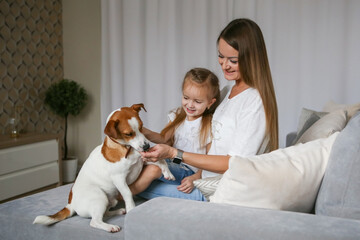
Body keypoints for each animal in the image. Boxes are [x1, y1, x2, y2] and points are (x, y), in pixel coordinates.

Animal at [33, 103, 174, 232]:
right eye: (128, 134)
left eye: (142, 127)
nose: (146, 147)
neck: (127, 149)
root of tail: (71, 204)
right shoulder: (119, 179)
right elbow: (127, 192)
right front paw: (131, 209)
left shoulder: (143, 161)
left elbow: (161, 161)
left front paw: (168, 173)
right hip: (99, 198)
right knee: (94, 221)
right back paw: (110, 227)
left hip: (110, 201)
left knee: (104, 213)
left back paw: (118, 212)